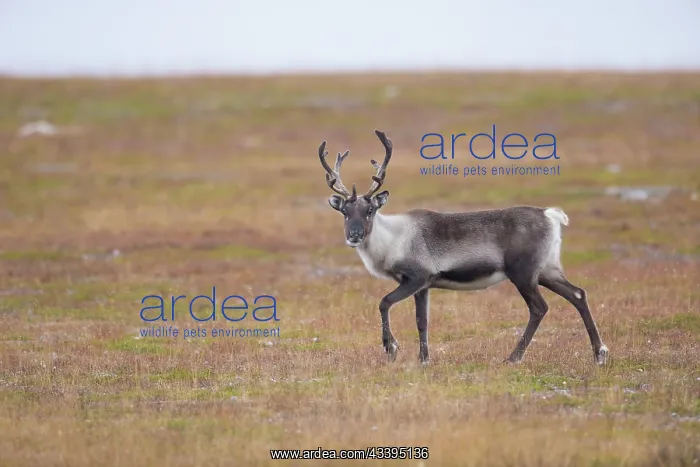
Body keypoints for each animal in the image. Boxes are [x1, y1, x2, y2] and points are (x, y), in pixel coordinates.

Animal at [317, 129, 609, 366]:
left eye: (369, 211)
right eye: (345, 212)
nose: (354, 235)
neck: (391, 240)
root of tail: (551, 215)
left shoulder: (417, 277)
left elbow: (384, 302)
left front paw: (392, 349)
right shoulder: (423, 285)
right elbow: (422, 321)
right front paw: (424, 360)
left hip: (523, 273)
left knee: (539, 307)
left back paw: (513, 357)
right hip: (547, 269)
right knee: (578, 294)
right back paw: (599, 353)